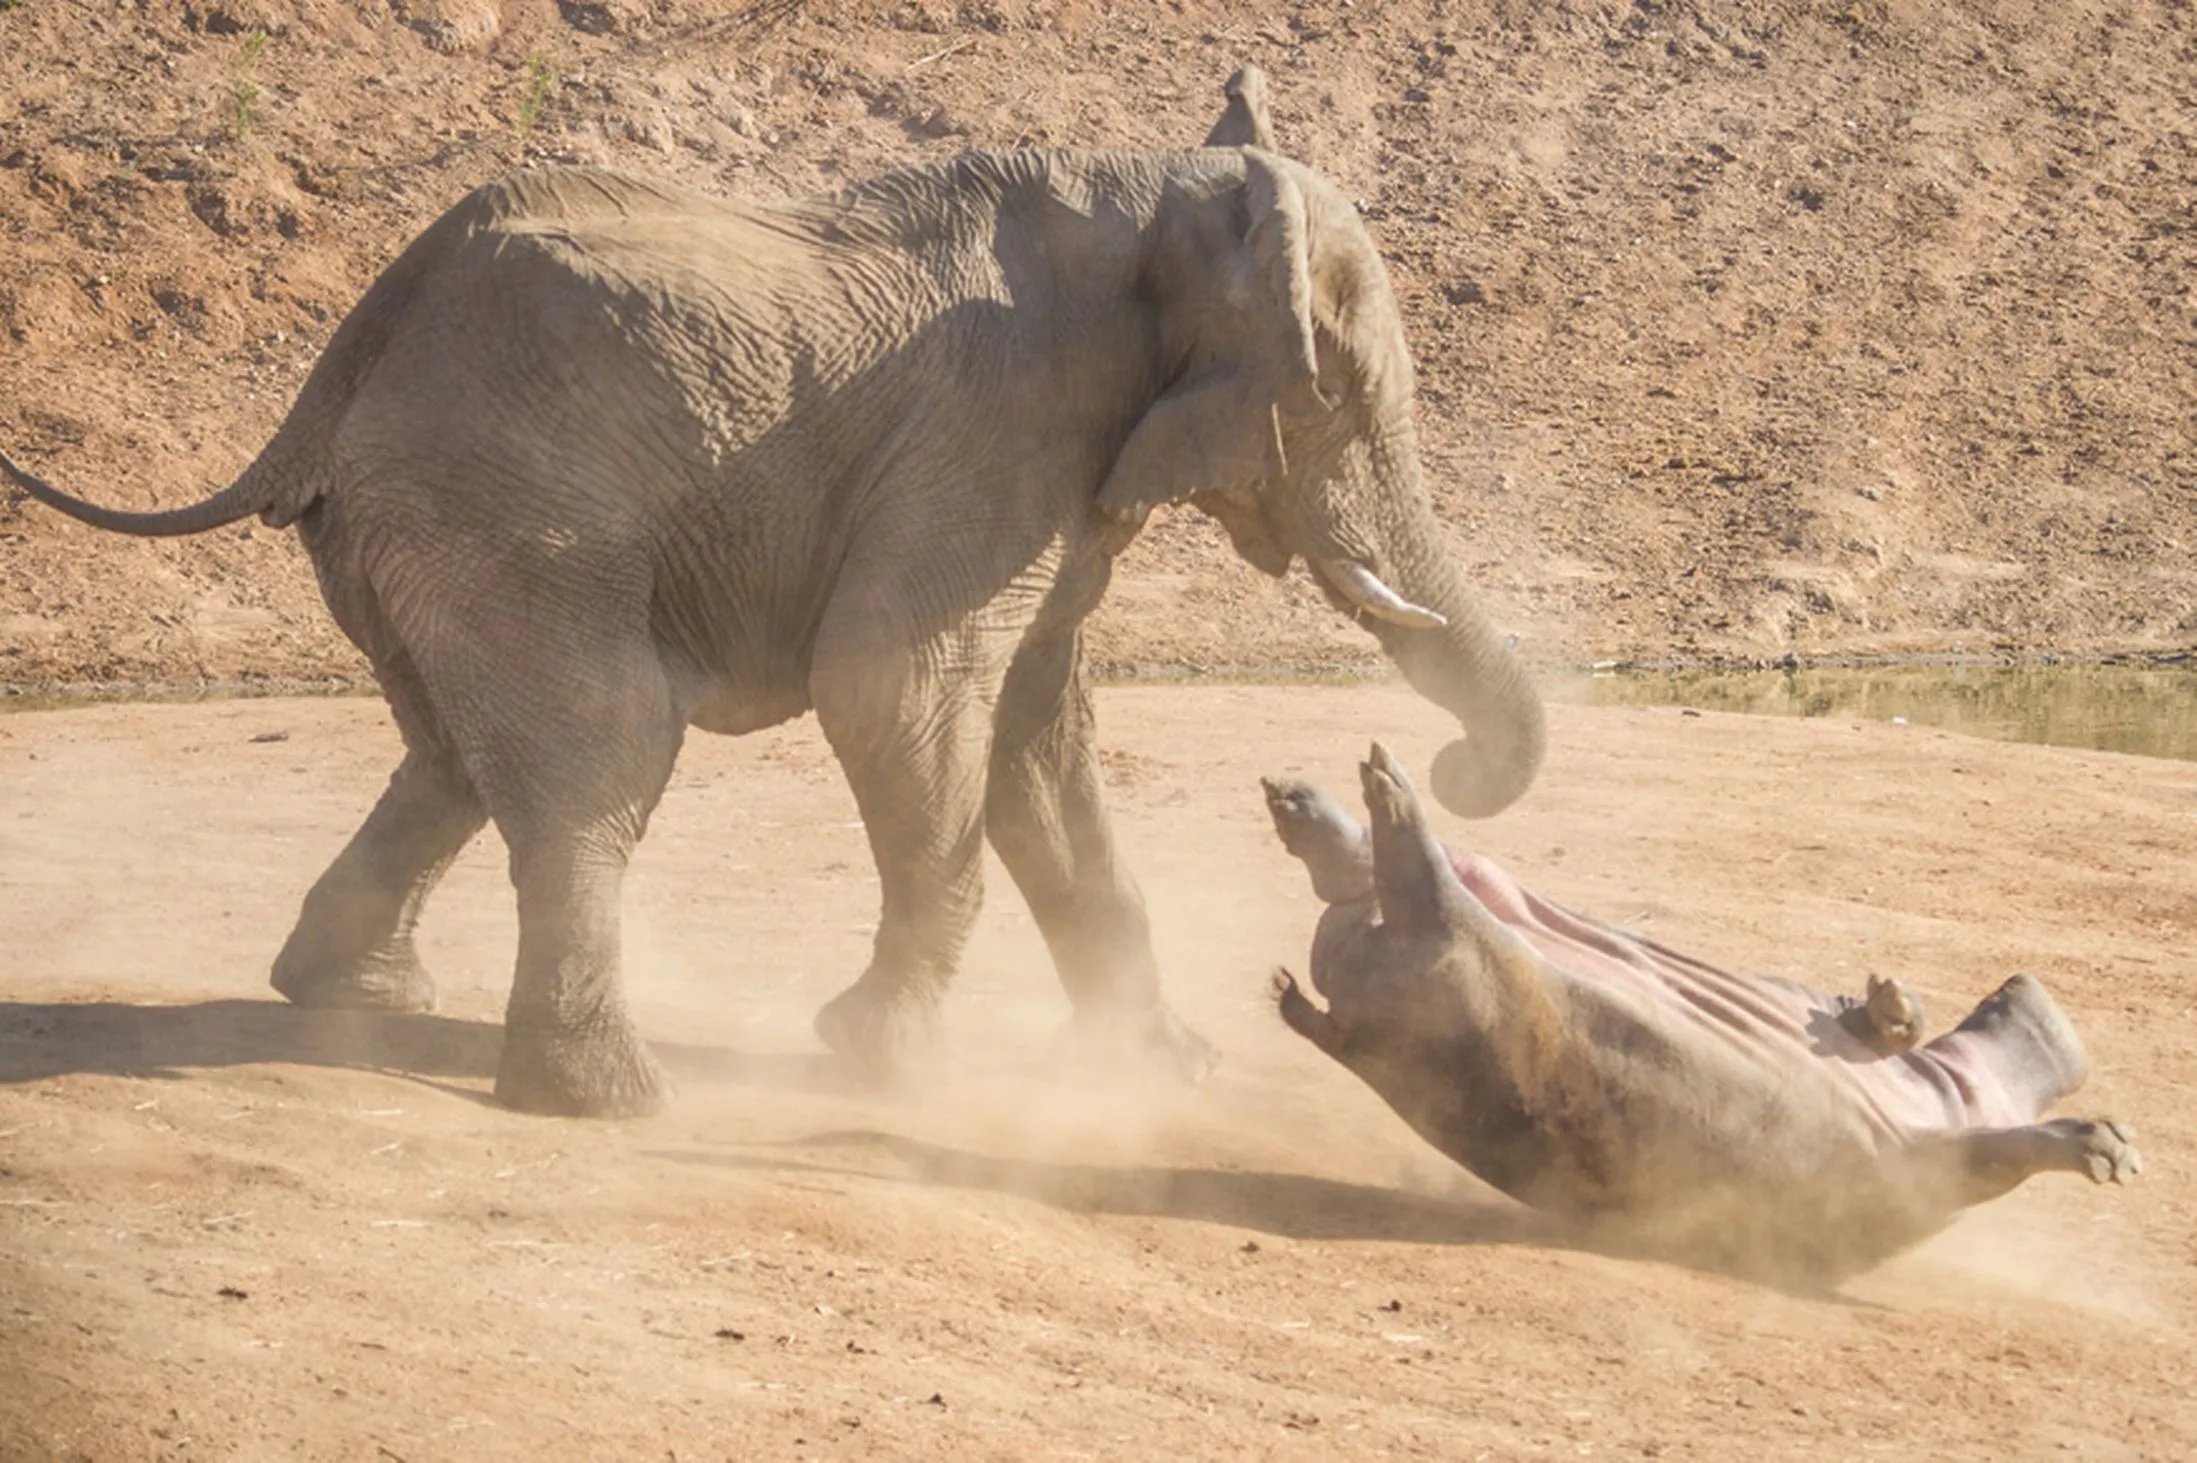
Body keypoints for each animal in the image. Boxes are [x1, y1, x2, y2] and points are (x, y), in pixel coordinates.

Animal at [4, 68, 1546, 1111]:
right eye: (1335, 392)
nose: (1443, 767)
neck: (1156, 184)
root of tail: (340, 364)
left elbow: (1037, 741)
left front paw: (1165, 1071)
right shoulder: (992, 431)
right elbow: (896, 689)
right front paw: (879, 1060)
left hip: (428, 525)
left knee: (450, 755)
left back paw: (355, 1003)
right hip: (507, 503)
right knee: (603, 744)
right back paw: (608, 1101)